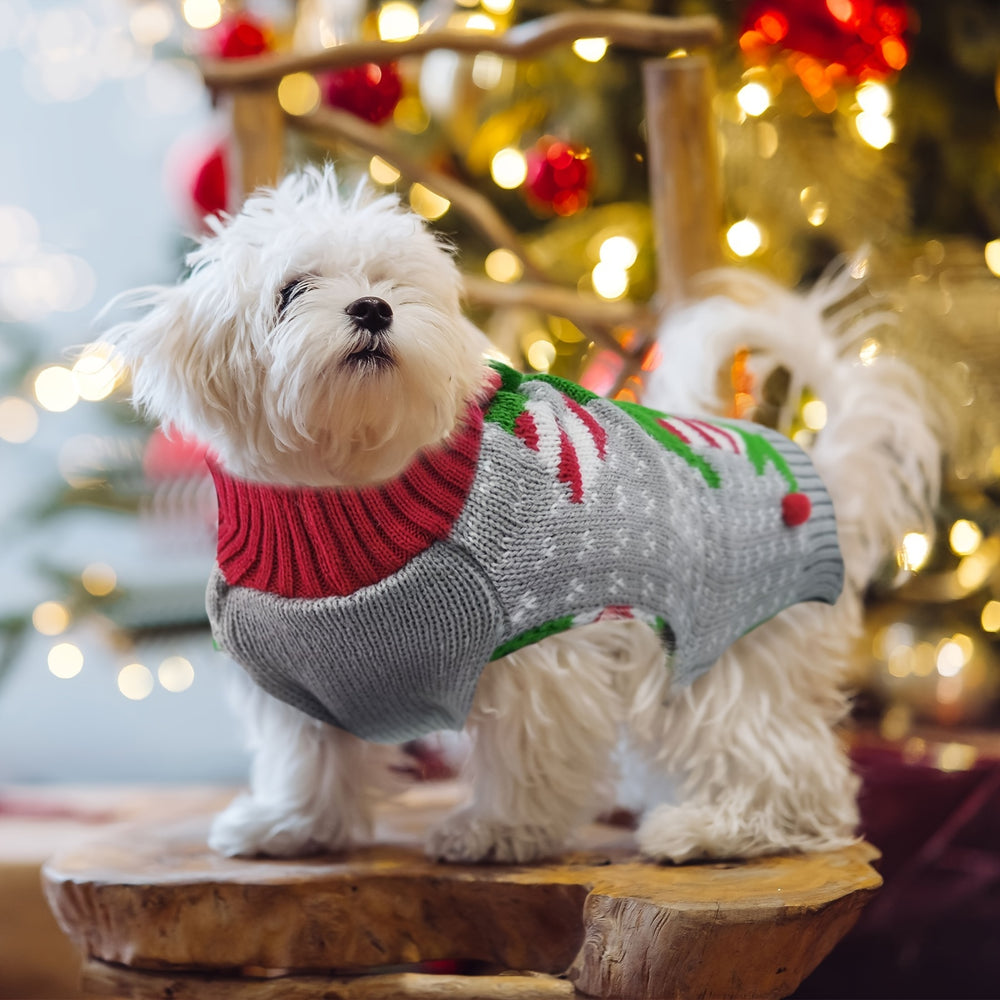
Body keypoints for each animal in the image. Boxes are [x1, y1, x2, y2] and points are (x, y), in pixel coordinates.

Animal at [101, 168, 936, 864]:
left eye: (395, 285)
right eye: (290, 289)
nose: (373, 308)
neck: (347, 497)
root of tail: (811, 472)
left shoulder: (540, 646)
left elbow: (528, 754)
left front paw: (500, 832)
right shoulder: (298, 676)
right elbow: (310, 759)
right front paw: (293, 826)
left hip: (719, 647)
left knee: (793, 771)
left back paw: (717, 830)